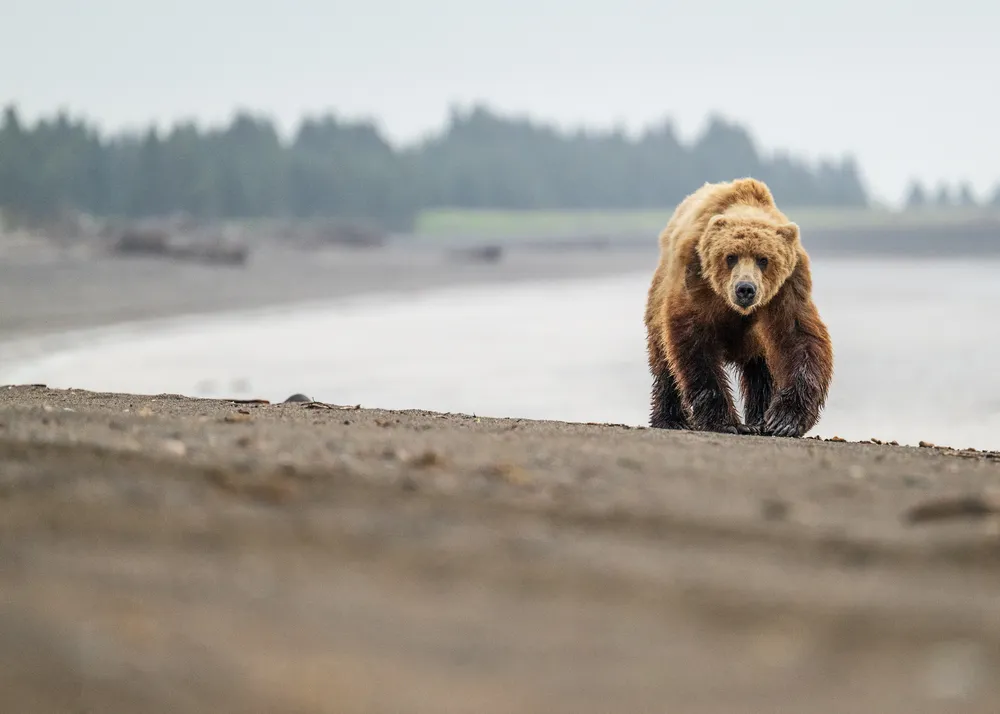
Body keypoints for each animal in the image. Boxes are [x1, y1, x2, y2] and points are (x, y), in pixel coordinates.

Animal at [643, 177, 833, 437]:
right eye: (730, 256)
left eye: (763, 259)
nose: (745, 288)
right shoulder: (696, 277)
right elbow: (694, 343)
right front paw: (727, 422)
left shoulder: (789, 285)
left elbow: (800, 336)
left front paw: (784, 420)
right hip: (659, 297)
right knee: (664, 360)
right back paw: (672, 419)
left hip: (757, 343)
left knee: (761, 372)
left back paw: (759, 420)